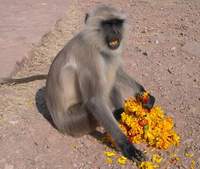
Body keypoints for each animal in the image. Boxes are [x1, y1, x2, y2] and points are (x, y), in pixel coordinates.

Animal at [0, 5, 155, 162]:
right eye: (107, 24)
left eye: (117, 23)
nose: (116, 31)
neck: (94, 41)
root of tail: (58, 122)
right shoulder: (89, 58)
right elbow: (95, 101)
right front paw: (128, 147)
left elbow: (116, 71)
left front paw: (144, 94)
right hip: (75, 121)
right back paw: (119, 113)